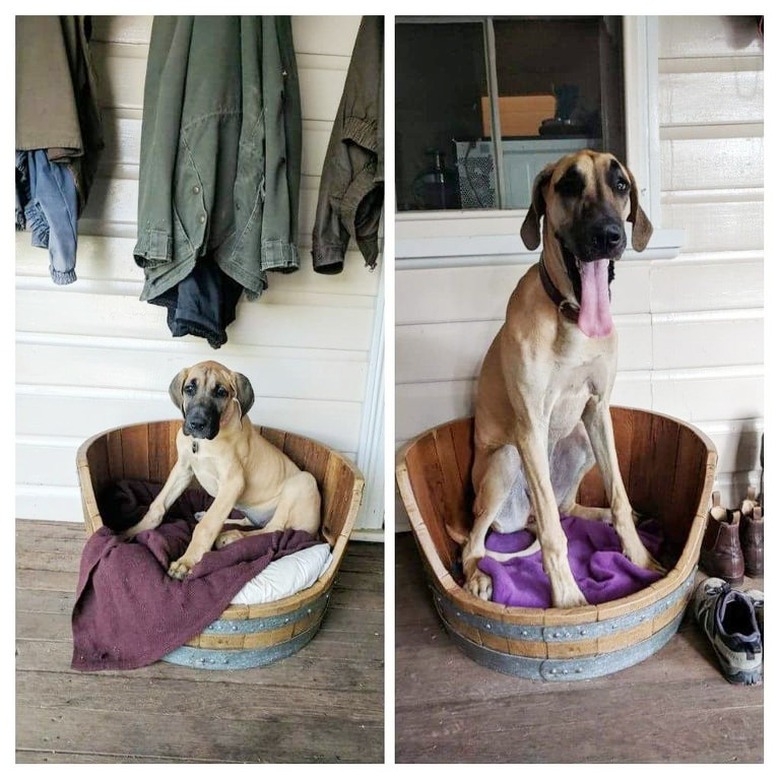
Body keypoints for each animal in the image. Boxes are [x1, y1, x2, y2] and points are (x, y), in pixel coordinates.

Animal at [122, 362, 320, 580]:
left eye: (221, 392)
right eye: (189, 389)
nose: (197, 424)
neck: (201, 443)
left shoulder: (233, 482)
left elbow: (207, 525)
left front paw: (187, 561)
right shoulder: (183, 469)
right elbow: (157, 506)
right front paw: (131, 531)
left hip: (304, 480)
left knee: (274, 529)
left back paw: (231, 536)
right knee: (252, 523)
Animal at [464, 148, 664, 608]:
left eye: (621, 185)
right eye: (568, 186)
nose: (609, 236)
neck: (571, 319)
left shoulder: (598, 409)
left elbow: (619, 494)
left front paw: (641, 559)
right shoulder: (530, 426)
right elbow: (555, 535)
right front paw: (568, 598)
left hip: (582, 439)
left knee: (567, 507)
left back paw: (601, 513)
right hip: (505, 460)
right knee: (477, 541)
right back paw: (478, 575)